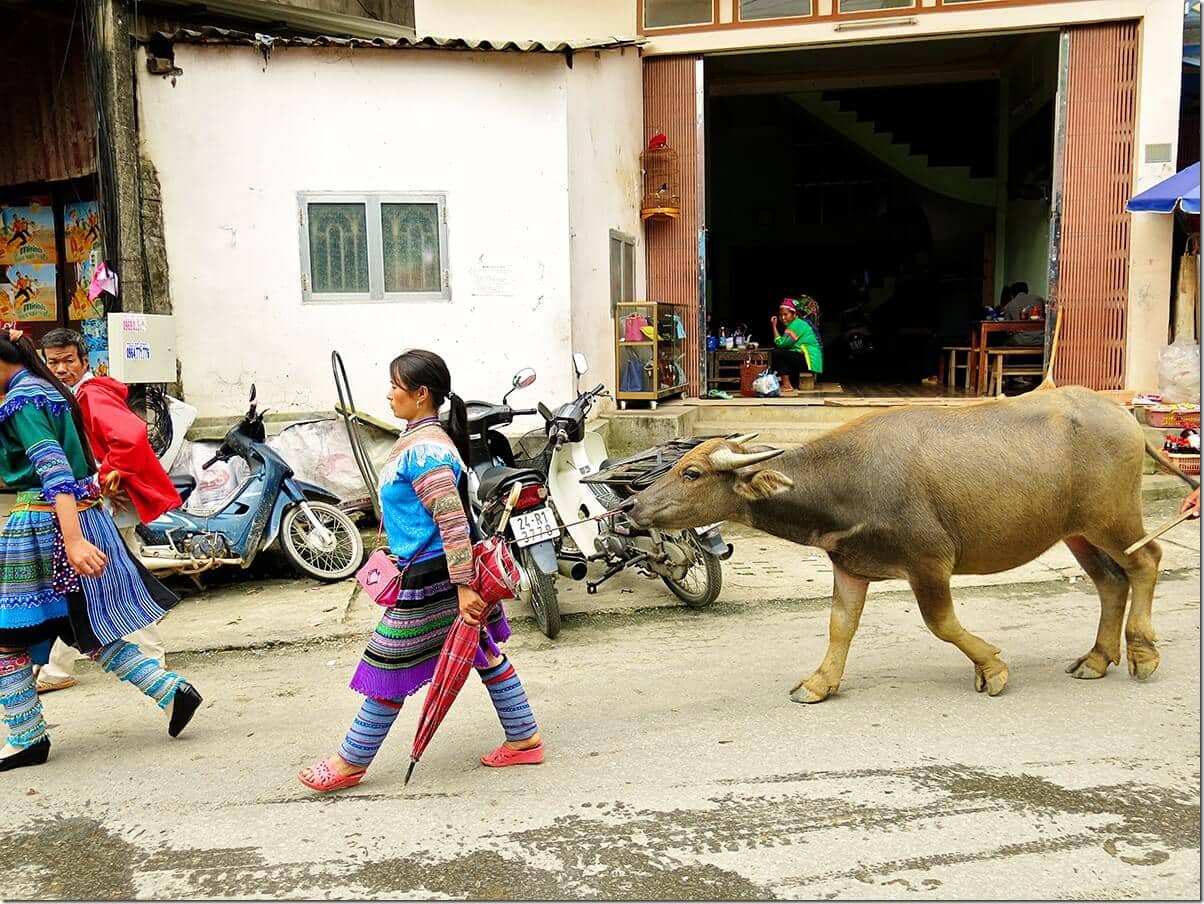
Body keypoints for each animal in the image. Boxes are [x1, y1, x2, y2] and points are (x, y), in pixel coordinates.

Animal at [626, 385, 1199, 702]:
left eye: (692, 473)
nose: (632, 508)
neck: (849, 479)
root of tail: (1123, 417)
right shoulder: (848, 565)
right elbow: (840, 627)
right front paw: (820, 683)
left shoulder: (930, 562)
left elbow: (942, 624)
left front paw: (992, 667)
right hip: (1077, 529)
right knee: (1109, 581)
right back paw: (1098, 659)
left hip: (1115, 517)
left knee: (1146, 562)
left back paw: (1142, 653)